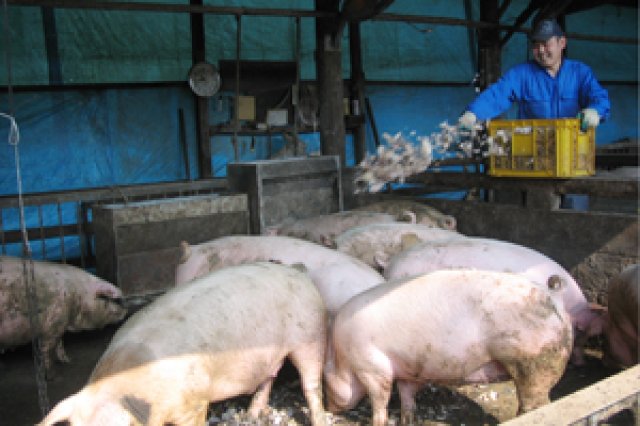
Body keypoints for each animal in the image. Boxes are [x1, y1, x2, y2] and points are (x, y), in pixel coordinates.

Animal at [39, 262, 328, 426]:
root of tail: (298, 271)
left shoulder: (195, 402)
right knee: (268, 378)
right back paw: (251, 416)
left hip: (310, 334)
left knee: (311, 383)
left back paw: (320, 420)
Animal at [324, 270, 573, 426]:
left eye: (325, 381)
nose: (328, 408)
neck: (343, 359)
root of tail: (554, 298)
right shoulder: (407, 369)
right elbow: (406, 395)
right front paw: (408, 420)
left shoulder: (372, 366)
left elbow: (380, 398)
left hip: (533, 361)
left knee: (535, 402)